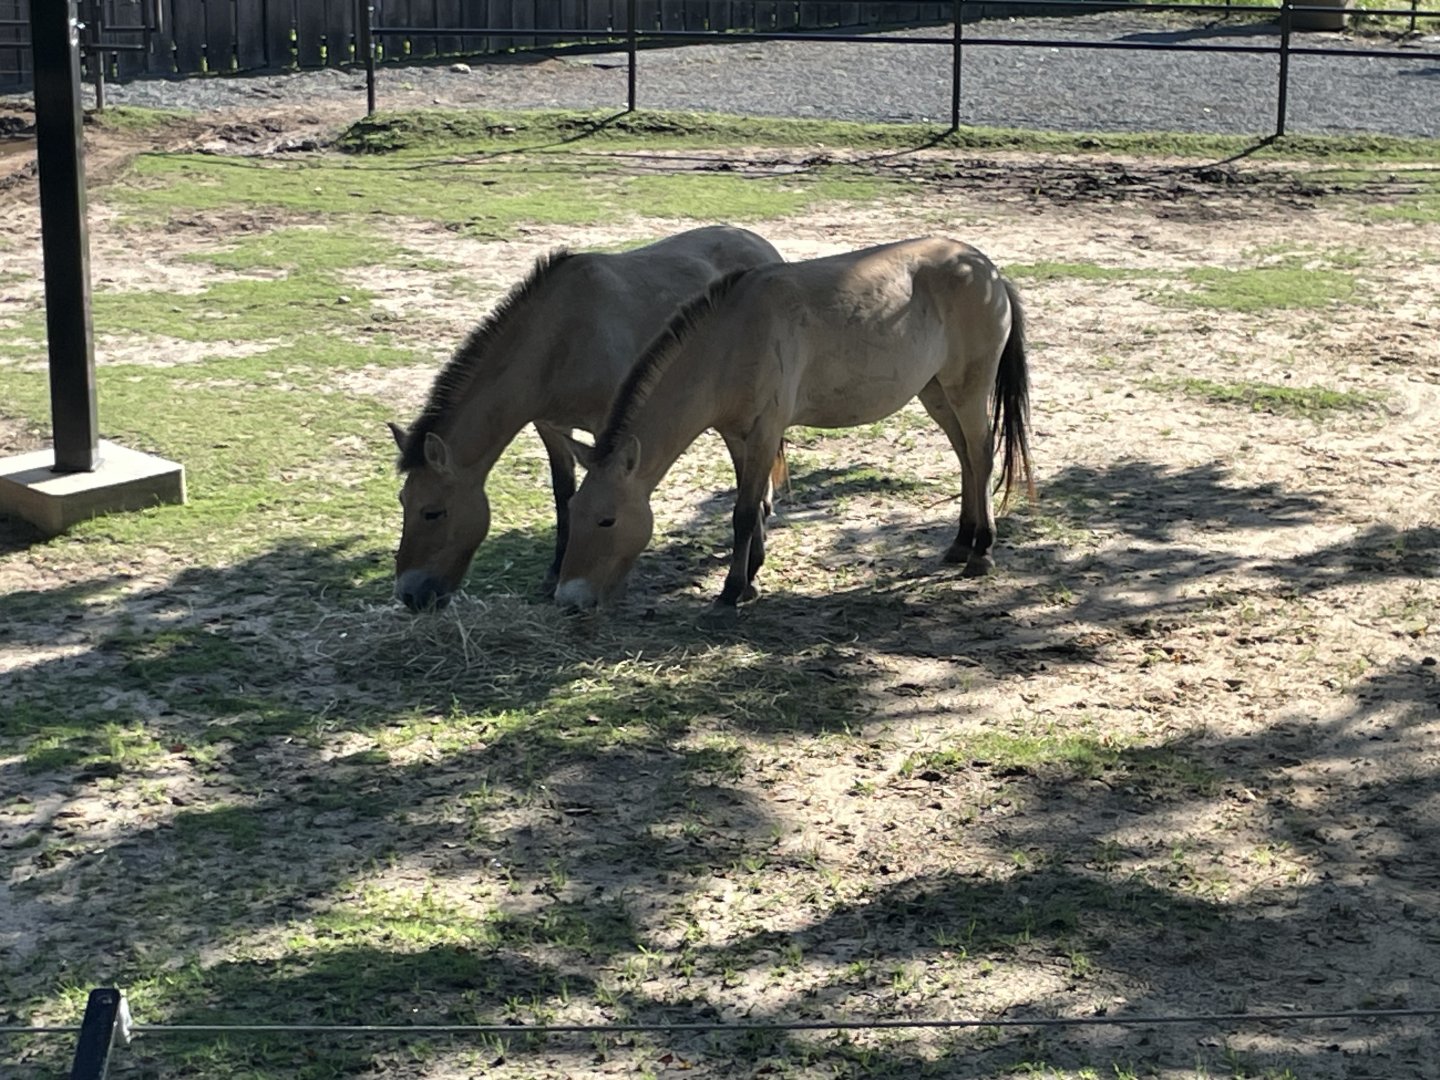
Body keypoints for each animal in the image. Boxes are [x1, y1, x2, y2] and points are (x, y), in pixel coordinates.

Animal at [388, 225, 783, 612]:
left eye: (433, 512)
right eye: (402, 502)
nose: (410, 595)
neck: (560, 338)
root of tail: (762, 246)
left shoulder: (609, 428)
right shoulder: (551, 428)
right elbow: (564, 494)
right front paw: (554, 573)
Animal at [552, 236, 1034, 612]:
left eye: (607, 520)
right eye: (575, 512)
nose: (568, 598)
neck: (730, 342)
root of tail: (986, 268)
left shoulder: (766, 431)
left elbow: (746, 512)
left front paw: (732, 590)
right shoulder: (738, 435)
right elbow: (752, 505)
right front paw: (750, 578)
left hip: (966, 390)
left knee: (981, 456)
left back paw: (982, 551)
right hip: (935, 393)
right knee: (966, 458)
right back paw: (961, 543)